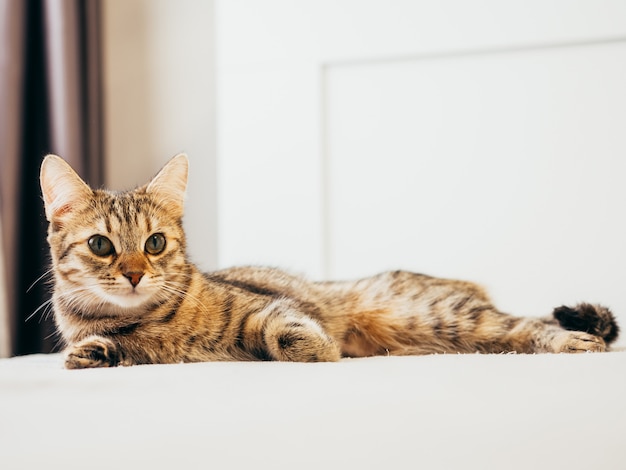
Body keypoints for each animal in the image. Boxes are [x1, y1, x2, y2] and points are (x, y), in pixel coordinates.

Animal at [40, 153, 620, 368]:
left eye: (155, 243)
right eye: (101, 246)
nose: (135, 273)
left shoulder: (267, 308)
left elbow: (285, 328)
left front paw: (313, 346)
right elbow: (109, 350)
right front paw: (94, 354)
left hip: (444, 315)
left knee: (528, 325)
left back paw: (572, 339)